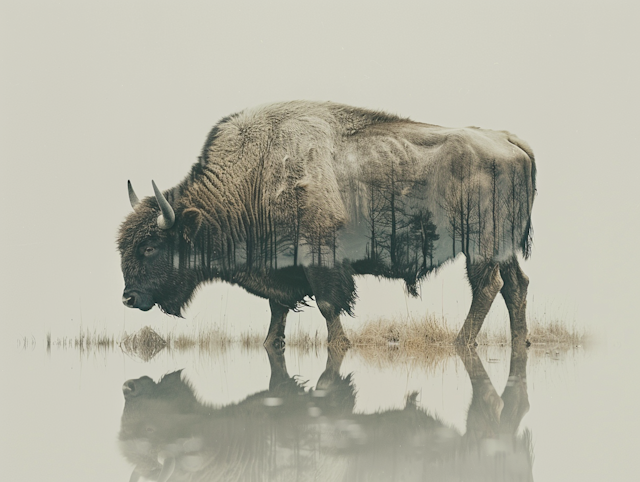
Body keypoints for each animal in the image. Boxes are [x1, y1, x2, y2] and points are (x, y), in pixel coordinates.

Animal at [119, 100, 536, 344]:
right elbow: (277, 313)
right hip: (504, 248)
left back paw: (460, 341)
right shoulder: (280, 272)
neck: (255, 177)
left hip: (480, 246)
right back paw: (520, 341)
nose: (128, 298)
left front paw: (341, 344)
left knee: (488, 286)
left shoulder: (321, 260)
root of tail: (508, 141)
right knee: (516, 285)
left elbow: (327, 307)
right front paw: (272, 344)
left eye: (150, 247)